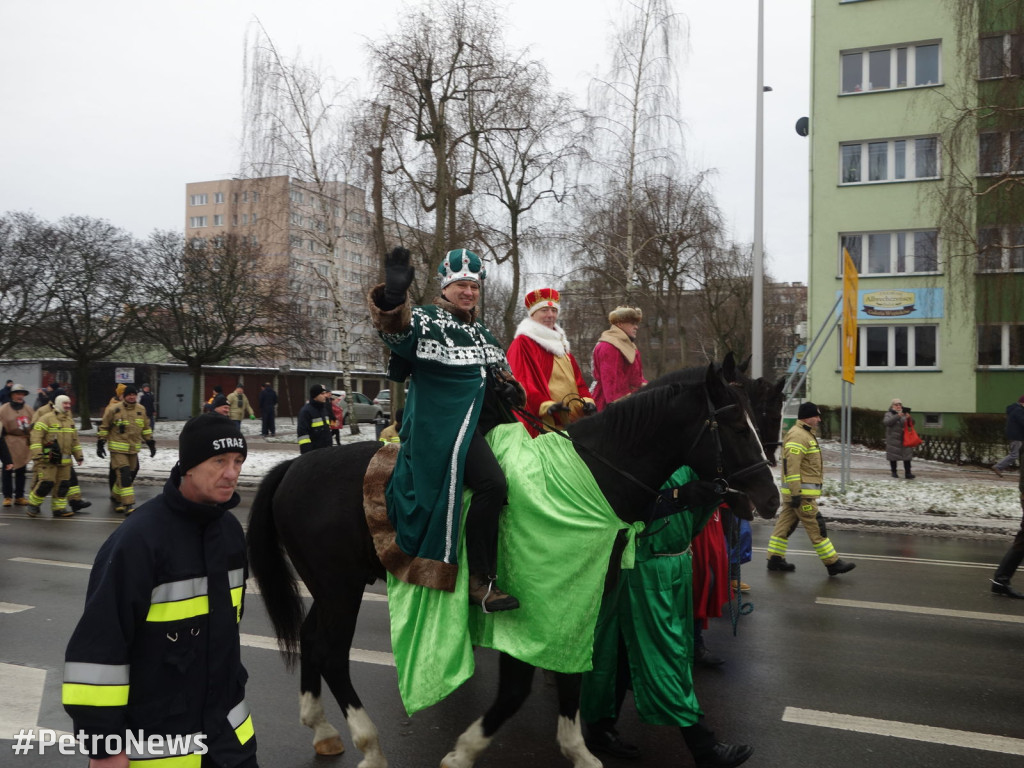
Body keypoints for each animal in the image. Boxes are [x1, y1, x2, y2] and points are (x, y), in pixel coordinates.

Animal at [245, 362, 774, 768]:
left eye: (758, 419)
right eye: (733, 425)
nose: (768, 498)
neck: (588, 480)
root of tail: (294, 466)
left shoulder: (577, 598)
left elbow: (569, 674)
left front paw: (580, 751)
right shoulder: (538, 604)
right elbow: (519, 687)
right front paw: (463, 753)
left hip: (334, 585)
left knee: (312, 640)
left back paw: (322, 729)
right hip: (341, 588)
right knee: (333, 653)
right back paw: (369, 747)